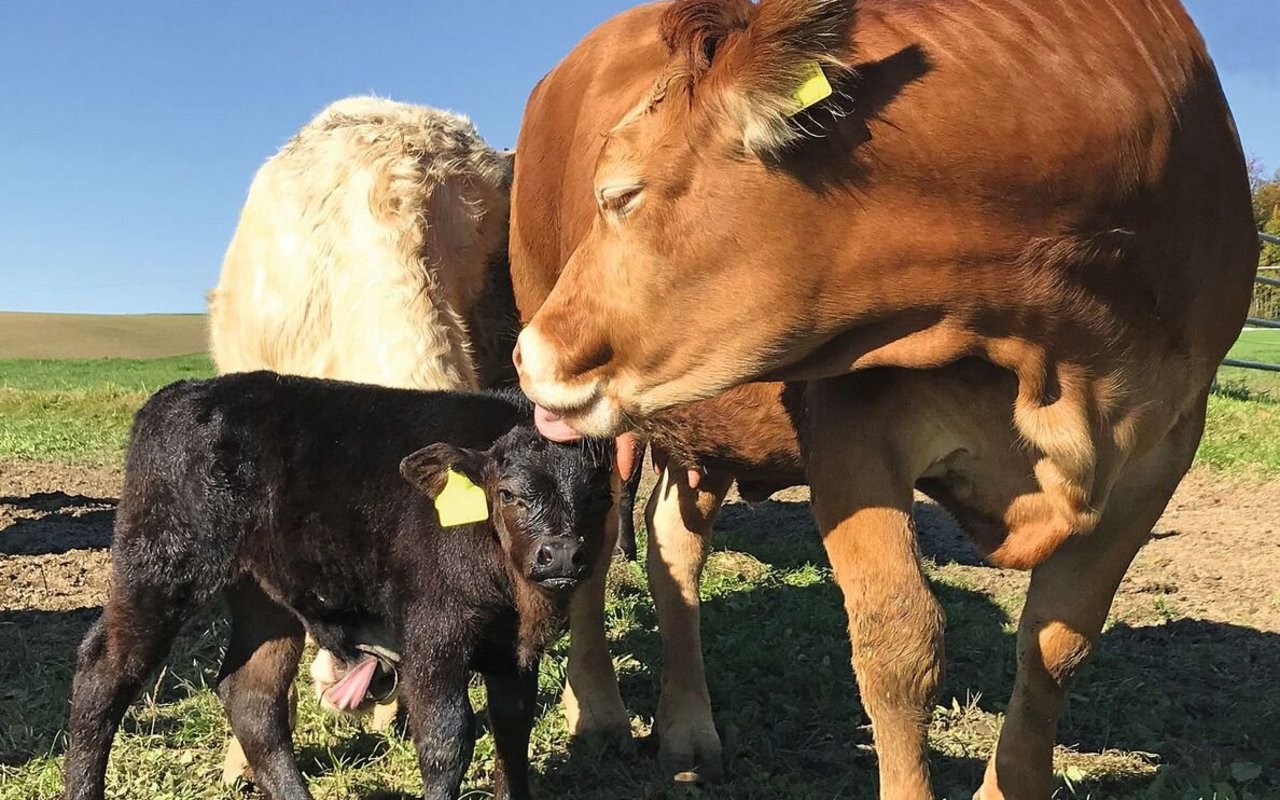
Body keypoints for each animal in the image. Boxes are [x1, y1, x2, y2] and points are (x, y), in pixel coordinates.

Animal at [506, 3, 1249, 793]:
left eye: (620, 194)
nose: (528, 350)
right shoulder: (853, 426)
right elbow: (900, 644)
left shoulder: (1160, 452)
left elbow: (1058, 646)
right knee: (593, 541)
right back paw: (598, 712)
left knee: (672, 544)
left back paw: (686, 730)